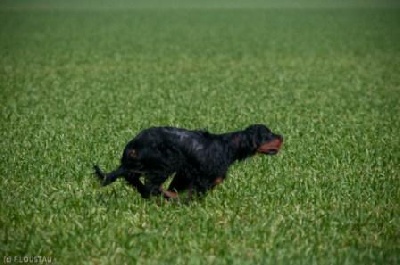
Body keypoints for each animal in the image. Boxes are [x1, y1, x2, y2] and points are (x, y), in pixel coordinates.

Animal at [94, 124, 282, 198]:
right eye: (268, 134)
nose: (282, 137)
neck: (229, 146)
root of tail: (134, 142)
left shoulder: (185, 174)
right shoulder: (201, 178)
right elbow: (194, 193)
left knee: (136, 180)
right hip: (167, 160)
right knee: (151, 185)